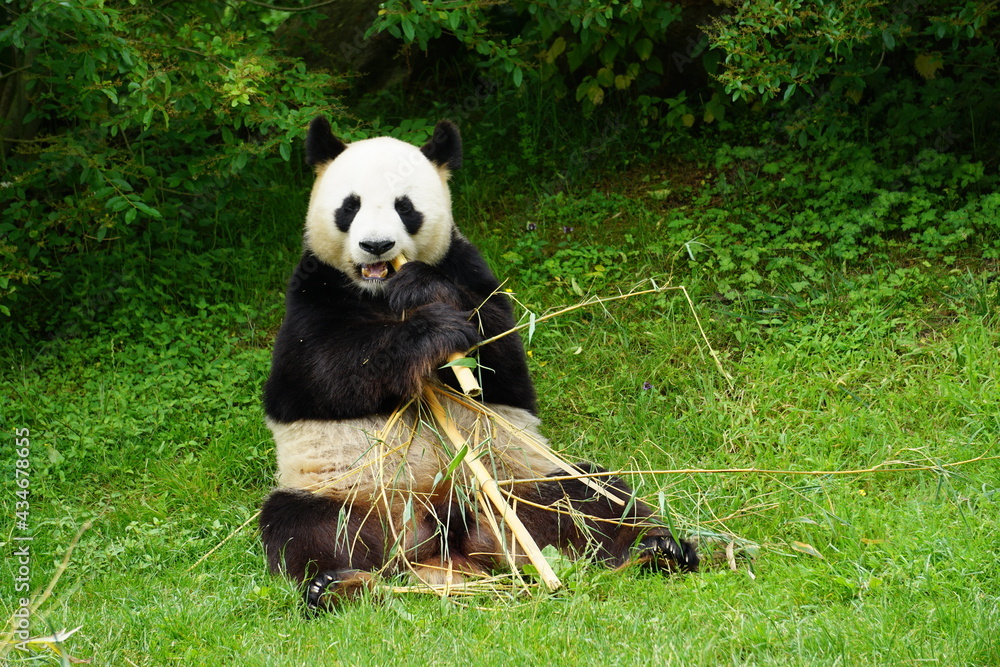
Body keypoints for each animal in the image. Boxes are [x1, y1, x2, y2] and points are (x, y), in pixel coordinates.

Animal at [259, 117, 698, 611]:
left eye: (405, 207)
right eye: (349, 207)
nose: (377, 245)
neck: (378, 292)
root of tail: (445, 547)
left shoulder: (467, 267)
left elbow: (503, 361)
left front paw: (425, 292)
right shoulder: (311, 292)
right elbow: (318, 374)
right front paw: (430, 334)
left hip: (521, 483)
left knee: (592, 498)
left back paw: (657, 549)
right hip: (351, 495)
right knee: (308, 528)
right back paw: (336, 585)